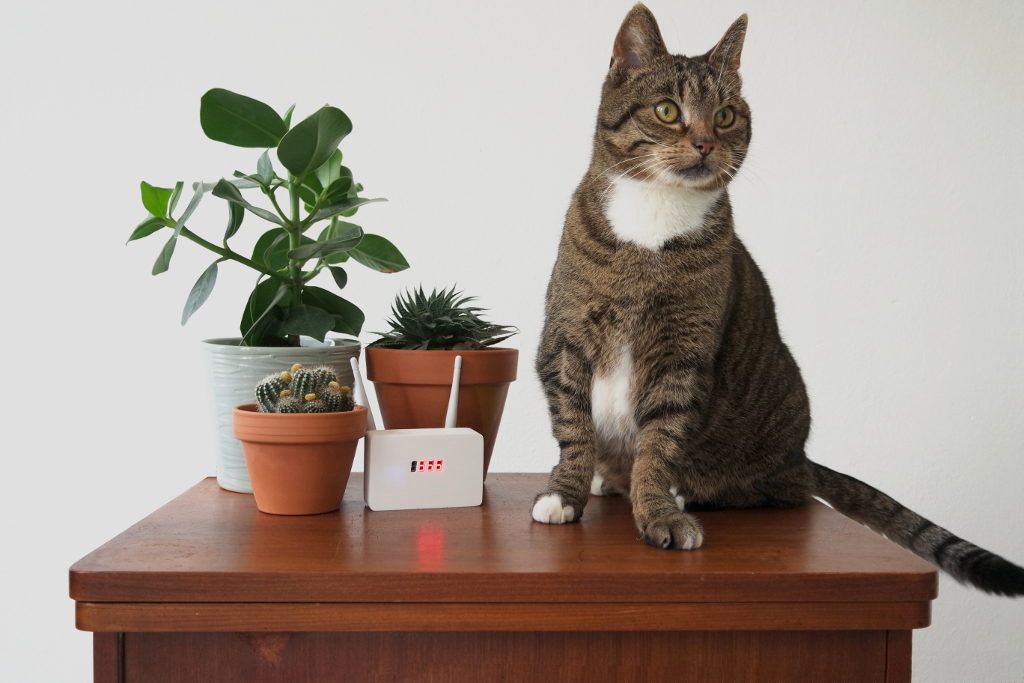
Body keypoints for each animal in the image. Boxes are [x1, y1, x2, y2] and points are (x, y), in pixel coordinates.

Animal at [531, 3, 1024, 596]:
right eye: (669, 110)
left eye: (724, 116)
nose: (705, 143)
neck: (653, 220)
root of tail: (800, 455)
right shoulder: (566, 336)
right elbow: (573, 427)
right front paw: (566, 493)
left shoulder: (683, 356)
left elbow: (661, 442)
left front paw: (657, 509)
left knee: (781, 490)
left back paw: (687, 490)